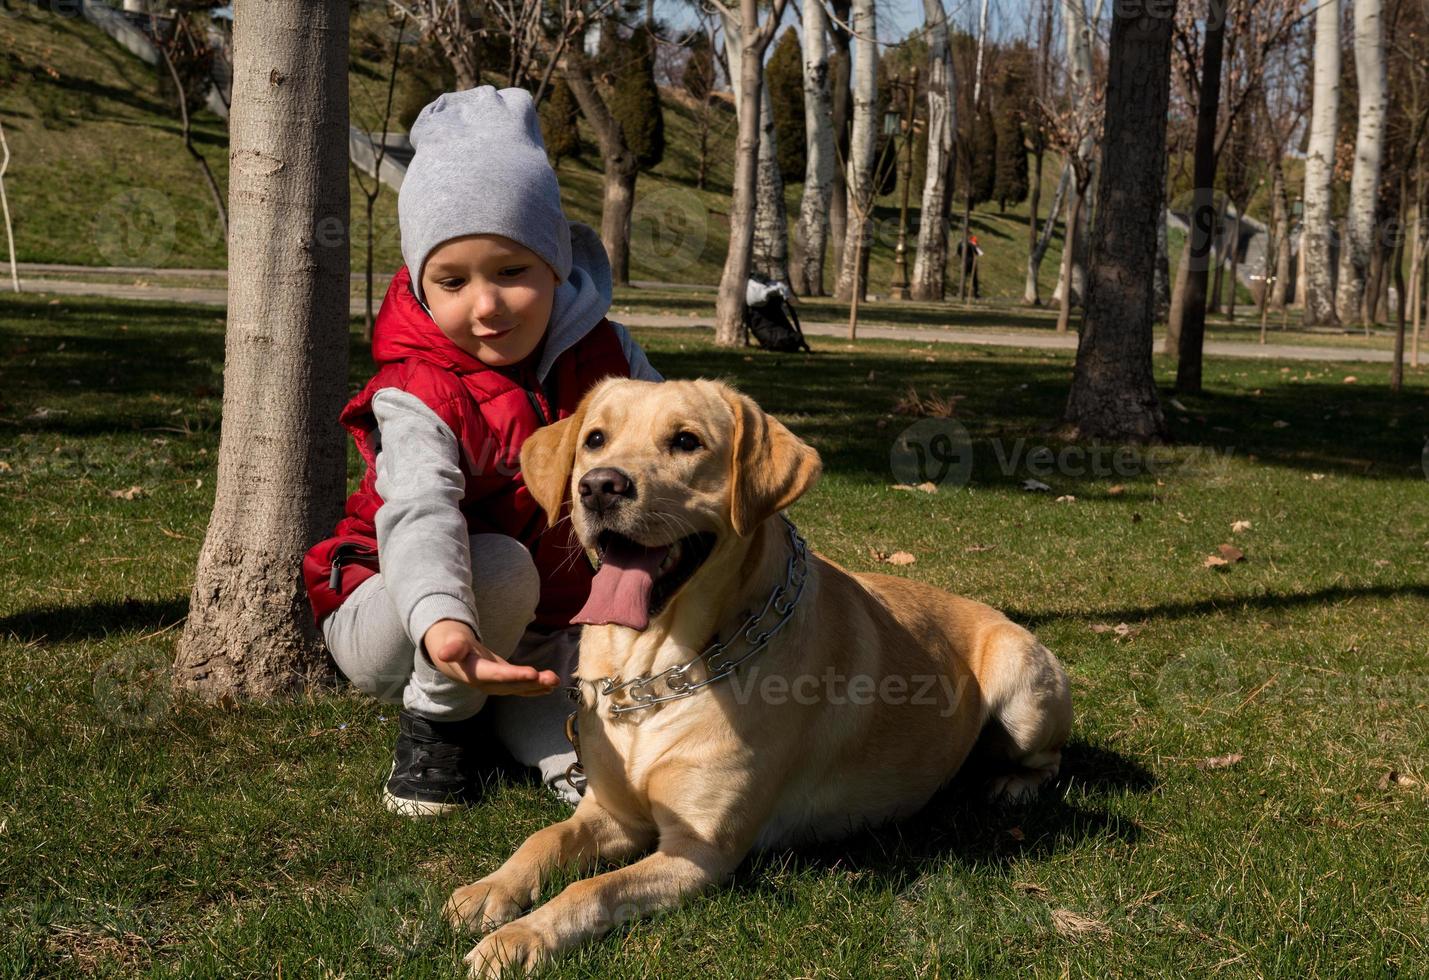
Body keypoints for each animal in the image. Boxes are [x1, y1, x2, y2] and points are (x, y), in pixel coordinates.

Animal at [445, 380, 1074, 977]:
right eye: (595, 439)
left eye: (686, 441)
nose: (599, 486)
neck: (657, 673)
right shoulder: (613, 812)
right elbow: (546, 838)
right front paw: (489, 891)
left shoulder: (700, 850)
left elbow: (593, 888)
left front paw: (520, 938)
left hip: (1022, 686)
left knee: (1048, 760)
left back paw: (1011, 785)